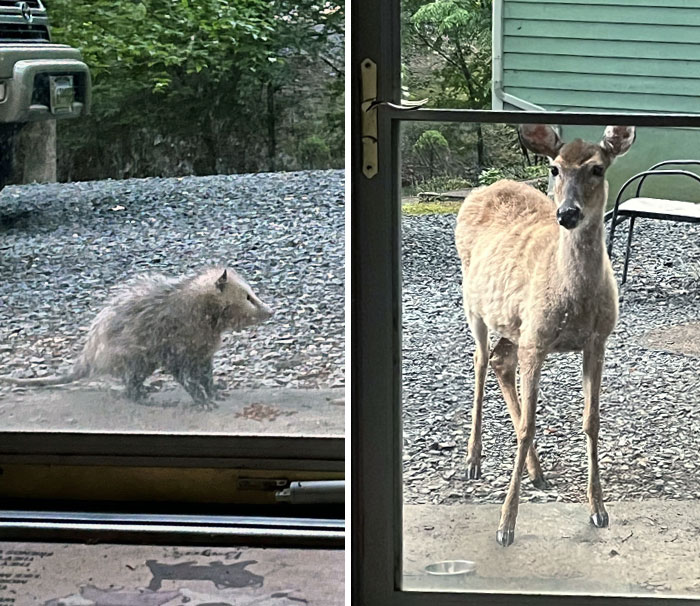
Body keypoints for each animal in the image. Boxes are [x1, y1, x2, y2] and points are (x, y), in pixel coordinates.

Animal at [456, 124, 636, 552]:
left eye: (597, 168)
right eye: (554, 168)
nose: (567, 213)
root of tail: (483, 188)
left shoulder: (596, 341)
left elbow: (591, 421)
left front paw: (599, 510)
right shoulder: (537, 342)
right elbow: (527, 427)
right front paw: (506, 525)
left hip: (515, 325)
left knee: (501, 362)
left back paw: (536, 472)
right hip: (475, 306)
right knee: (480, 363)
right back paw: (473, 461)